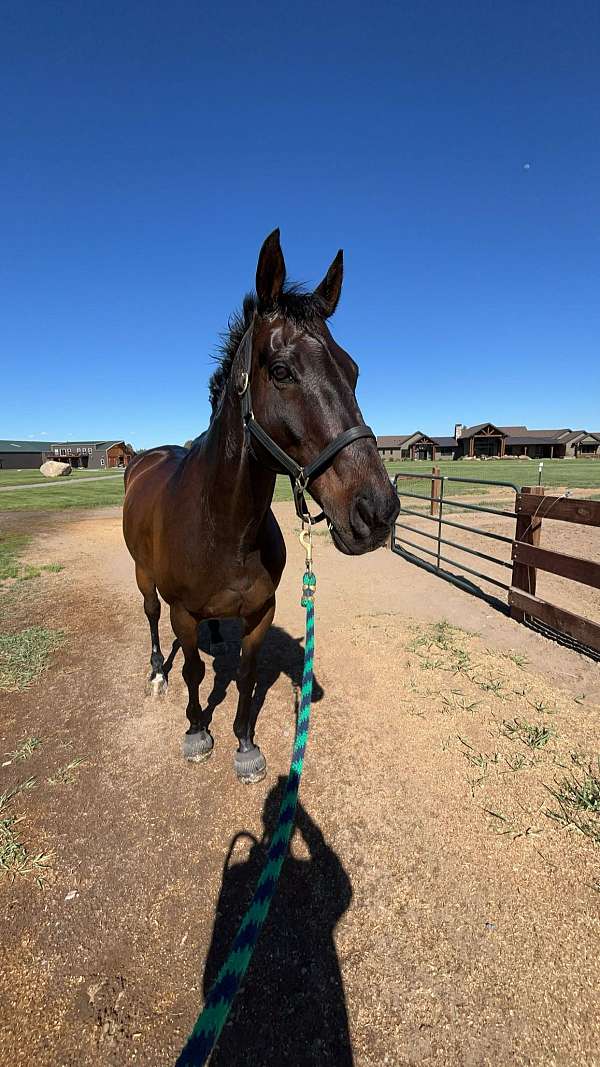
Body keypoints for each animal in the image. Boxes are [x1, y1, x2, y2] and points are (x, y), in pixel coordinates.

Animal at [122, 229, 399, 783]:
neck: (222, 526)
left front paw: (245, 743)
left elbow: (248, 677)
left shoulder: (260, 612)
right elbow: (194, 670)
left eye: (354, 371)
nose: (377, 512)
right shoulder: (182, 611)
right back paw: (156, 672)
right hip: (144, 577)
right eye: (281, 370)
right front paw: (197, 731)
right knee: (151, 617)